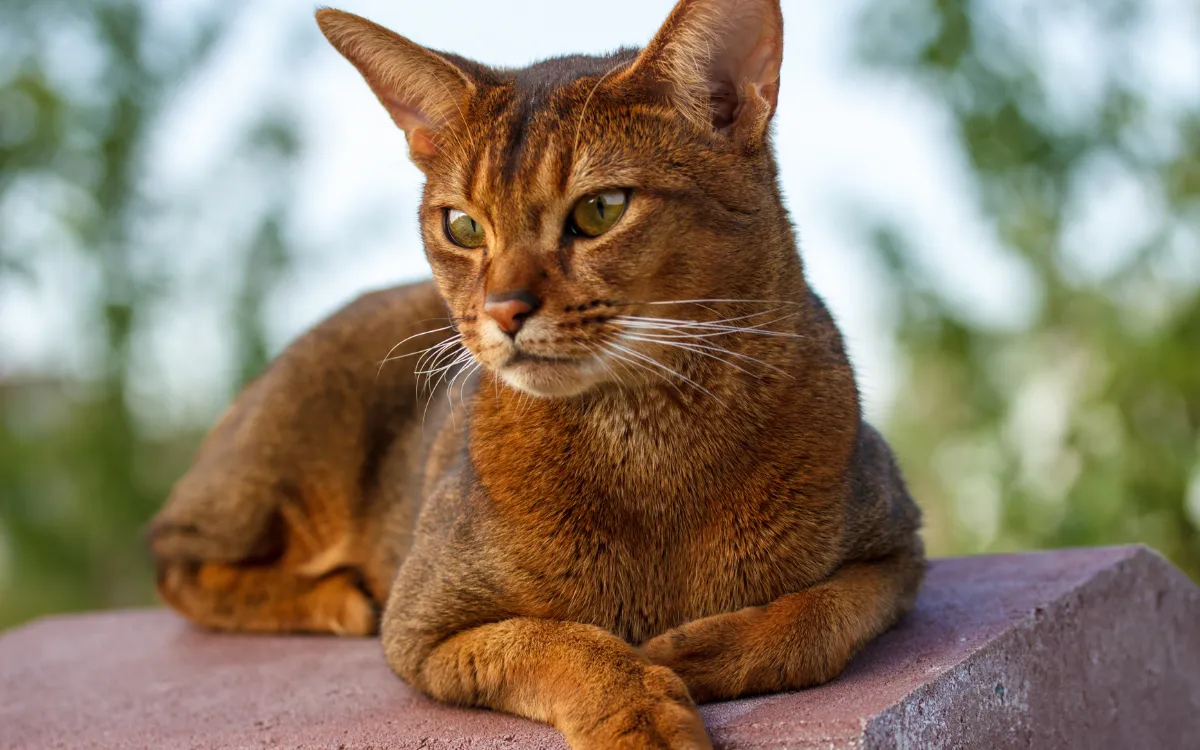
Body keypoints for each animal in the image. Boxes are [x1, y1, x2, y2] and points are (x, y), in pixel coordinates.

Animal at [142, 2, 926, 744]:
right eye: (462, 226)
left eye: (601, 209)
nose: (502, 310)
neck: (650, 444)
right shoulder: (425, 623)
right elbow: (562, 644)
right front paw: (644, 717)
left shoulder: (898, 547)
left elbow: (815, 617)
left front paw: (697, 652)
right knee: (172, 556)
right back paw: (336, 597)